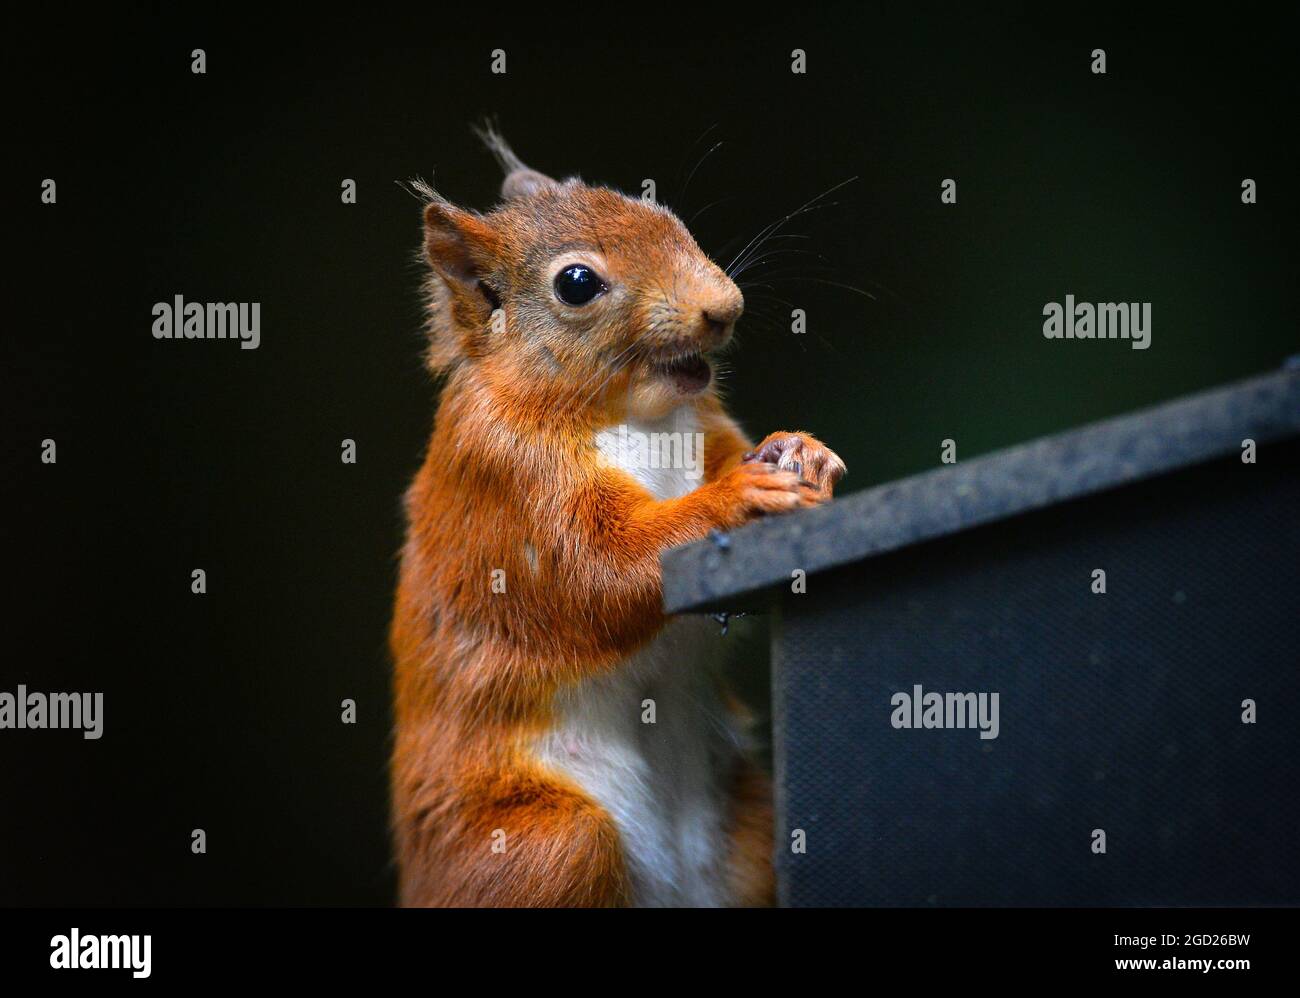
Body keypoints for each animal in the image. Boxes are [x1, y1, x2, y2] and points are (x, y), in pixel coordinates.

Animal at [390, 130, 847, 904]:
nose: (725, 307)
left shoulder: (706, 429)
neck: (633, 416)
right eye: (576, 284)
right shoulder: (507, 480)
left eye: (666, 216)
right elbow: (598, 571)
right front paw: (736, 499)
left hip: (745, 826)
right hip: (543, 846)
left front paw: (801, 452)